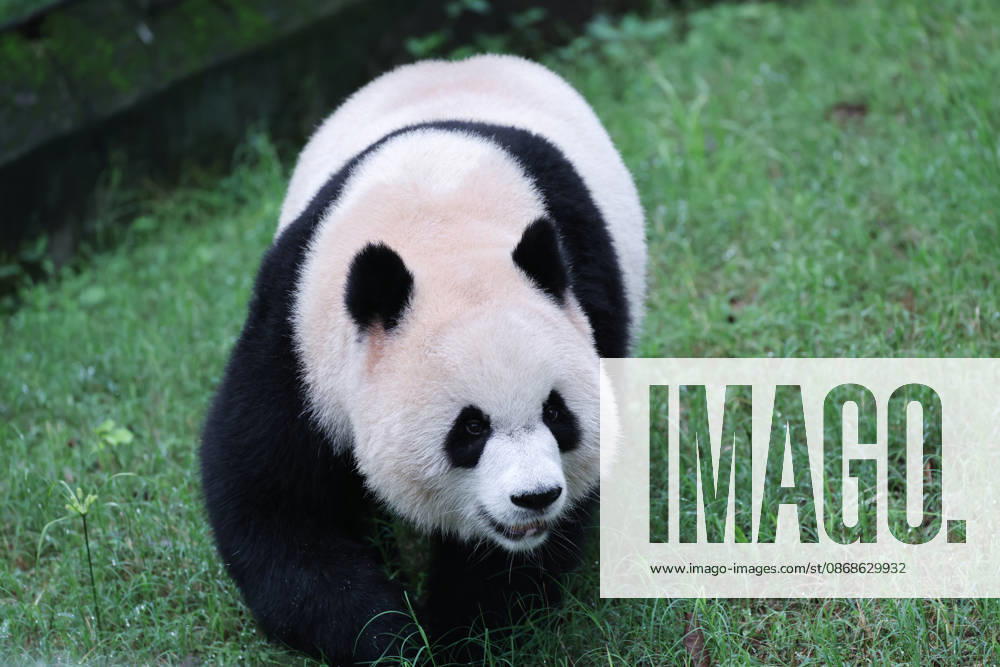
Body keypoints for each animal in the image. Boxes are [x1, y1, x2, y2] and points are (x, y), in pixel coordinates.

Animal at [201, 54, 645, 664]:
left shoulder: (591, 296)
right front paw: (390, 637)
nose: (535, 497)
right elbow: (274, 500)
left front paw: (457, 633)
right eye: (471, 427)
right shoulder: (297, 337)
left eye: (557, 413)